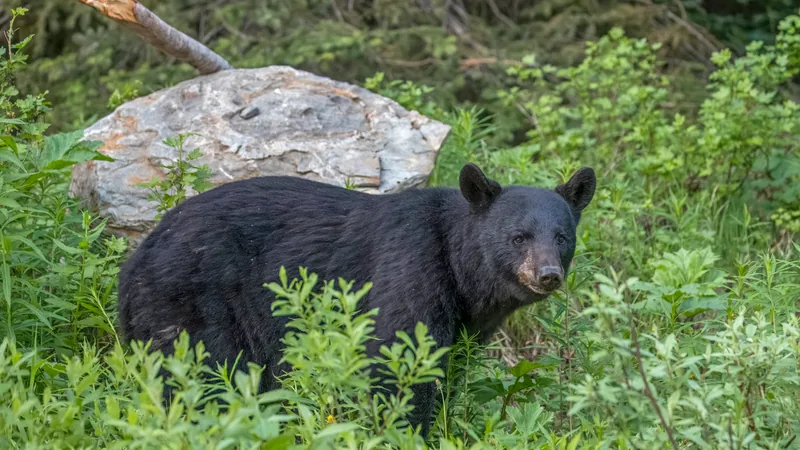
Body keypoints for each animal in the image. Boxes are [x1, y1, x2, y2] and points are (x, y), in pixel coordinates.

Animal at [117, 162, 596, 434]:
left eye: (562, 236)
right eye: (518, 237)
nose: (548, 274)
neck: (460, 272)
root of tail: (133, 262)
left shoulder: (465, 324)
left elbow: (446, 372)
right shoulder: (410, 269)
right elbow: (397, 364)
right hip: (191, 302)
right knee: (203, 378)